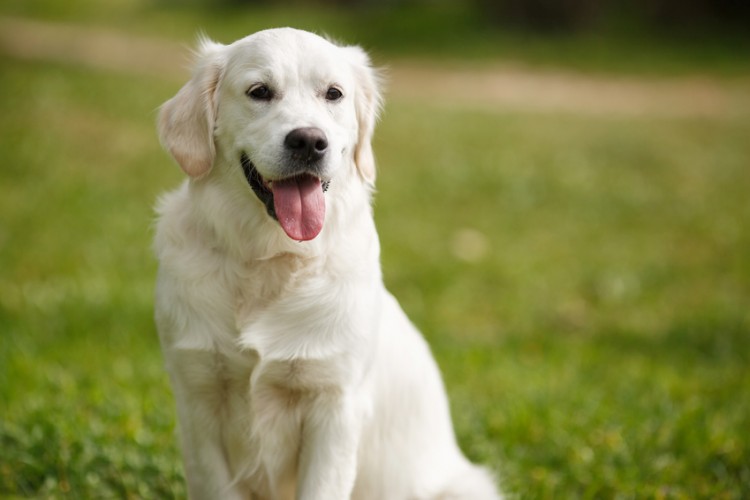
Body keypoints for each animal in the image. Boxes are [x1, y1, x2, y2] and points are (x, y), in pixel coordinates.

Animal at [155, 28, 502, 500]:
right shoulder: (198, 397)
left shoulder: (335, 406)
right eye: (259, 91)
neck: (270, 262)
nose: (308, 141)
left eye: (333, 93)